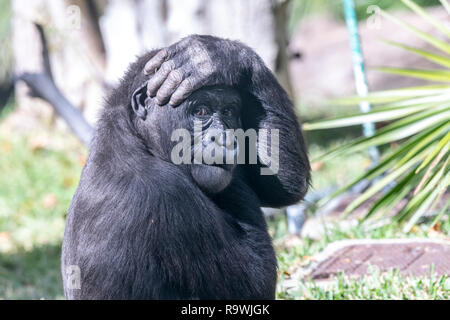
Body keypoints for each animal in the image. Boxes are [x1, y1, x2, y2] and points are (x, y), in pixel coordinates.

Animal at [62, 35, 310, 300]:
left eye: (229, 111)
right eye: (201, 110)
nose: (224, 139)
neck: (142, 140)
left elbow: (281, 185)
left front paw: (212, 55)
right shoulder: (166, 197)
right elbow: (256, 282)